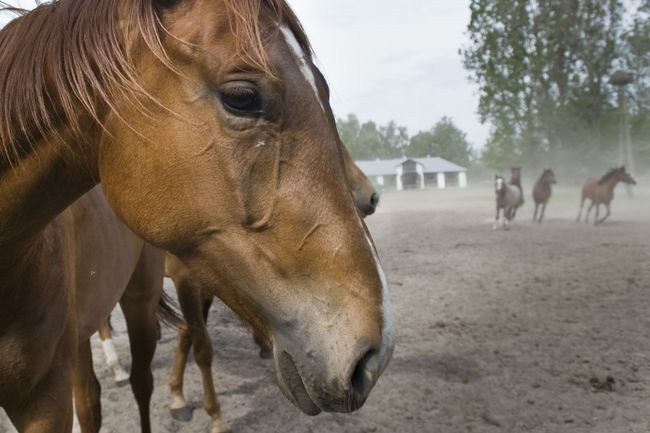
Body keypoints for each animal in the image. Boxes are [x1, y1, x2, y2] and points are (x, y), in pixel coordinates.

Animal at [0, 1, 394, 430]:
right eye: (241, 97)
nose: (374, 358)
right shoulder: (188, 279)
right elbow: (200, 343)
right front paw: (210, 413)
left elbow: (192, 337)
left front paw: (182, 397)